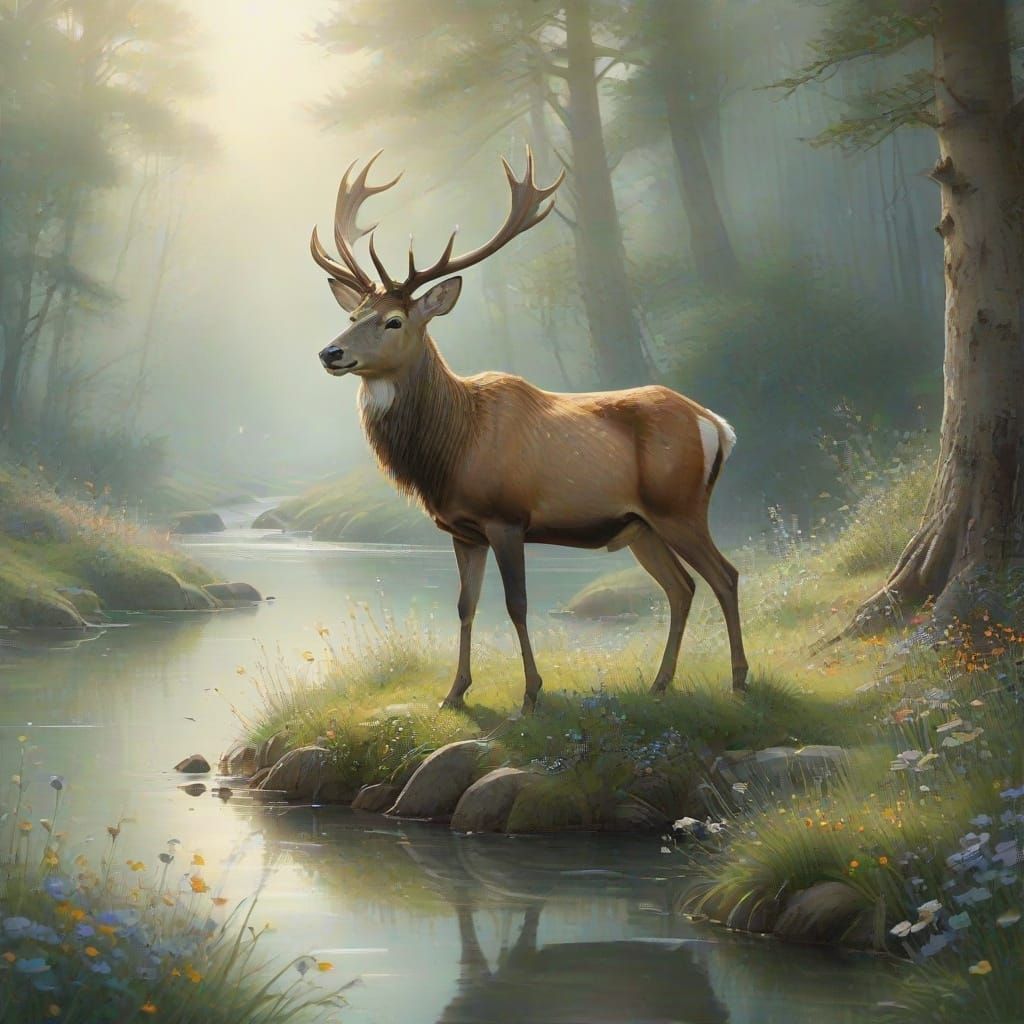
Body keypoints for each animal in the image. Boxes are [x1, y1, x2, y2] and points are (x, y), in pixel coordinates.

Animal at [311, 150, 748, 714]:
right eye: (353, 314)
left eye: (393, 321)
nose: (331, 352)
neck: (453, 447)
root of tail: (717, 425)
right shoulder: (462, 531)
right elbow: (465, 605)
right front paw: (454, 693)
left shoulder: (507, 516)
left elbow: (516, 604)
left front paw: (531, 694)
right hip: (642, 525)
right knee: (682, 587)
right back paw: (660, 683)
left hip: (680, 506)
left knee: (724, 575)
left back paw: (739, 680)